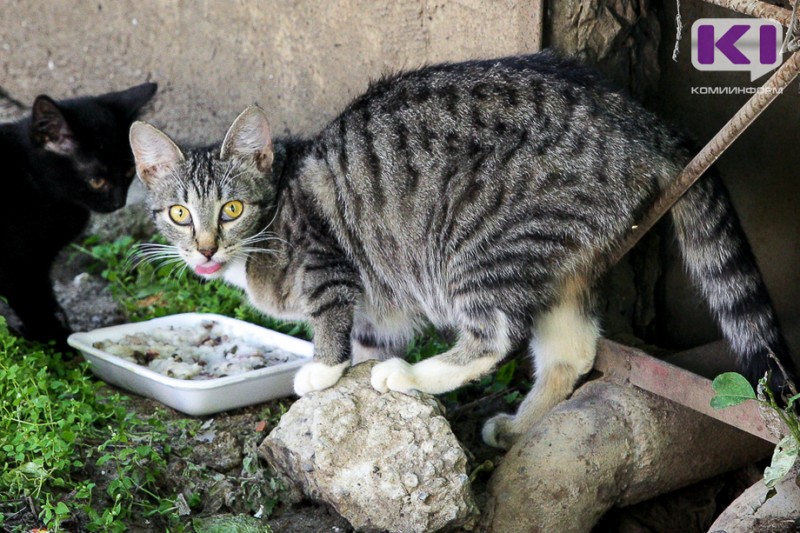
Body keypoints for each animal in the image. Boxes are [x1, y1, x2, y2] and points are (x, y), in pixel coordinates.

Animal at [0, 82, 158, 350]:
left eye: (128, 172)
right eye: (96, 181)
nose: (118, 202)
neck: (31, 178)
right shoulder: (21, 268)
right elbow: (37, 307)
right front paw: (59, 345)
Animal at [128, 52, 792, 446]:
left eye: (232, 210)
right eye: (180, 214)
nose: (205, 249)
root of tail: (641, 124)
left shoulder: (330, 264)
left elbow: (333, 320)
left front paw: (323, 369)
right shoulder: (379, 303)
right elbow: (370, 332)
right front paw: (357, 363)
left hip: (480, 241)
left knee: (493, 335)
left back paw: (409, 377)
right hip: (565, 260)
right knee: (571, 353)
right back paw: (519, 427)